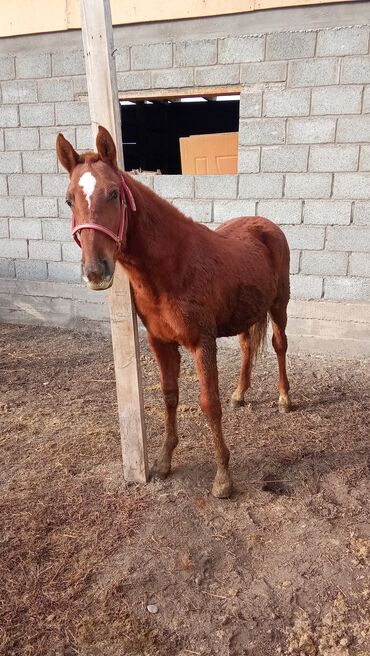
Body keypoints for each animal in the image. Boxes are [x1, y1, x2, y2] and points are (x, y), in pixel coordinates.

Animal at [56, 127, 290, 498]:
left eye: (113, 194)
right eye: (69, 200)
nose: (95, 271)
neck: (171, 267)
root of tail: (266, 225)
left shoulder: (202, 344)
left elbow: (209, 403)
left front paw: (223, 477)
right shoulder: (160, 343)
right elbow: (169, 396)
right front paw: (164, 461)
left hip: (279, 305)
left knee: (280, 345)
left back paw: (284, 398)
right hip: (245, 313)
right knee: (246, 347)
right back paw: (240, 394)